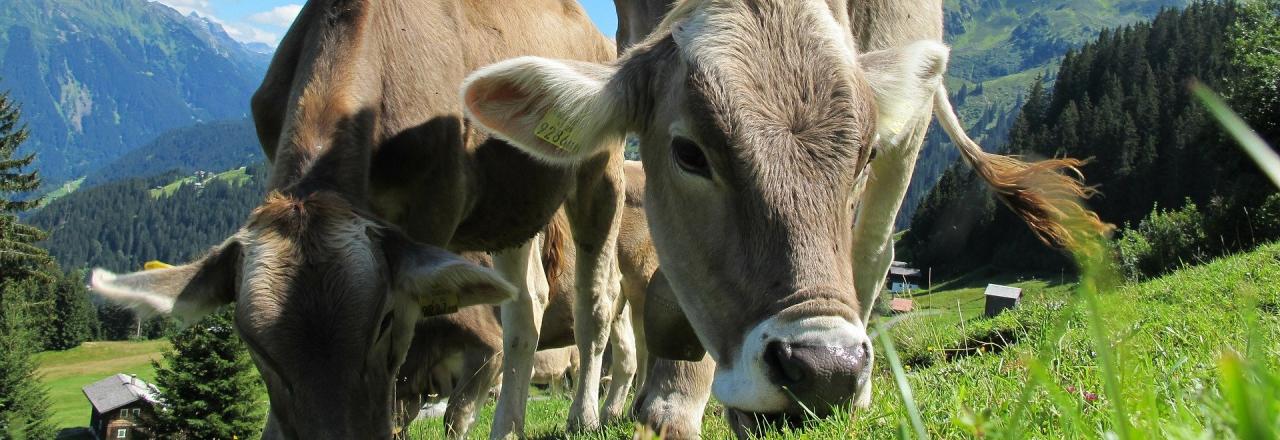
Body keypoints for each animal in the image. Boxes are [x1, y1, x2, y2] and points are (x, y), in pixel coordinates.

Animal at [86, 1, 624, 437]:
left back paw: (586, 416)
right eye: (252, 343)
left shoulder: (431, 213)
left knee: (596, 301)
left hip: (601, 169)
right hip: (511, 207)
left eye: (382, 321)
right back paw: (507, 428)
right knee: (525, 306)